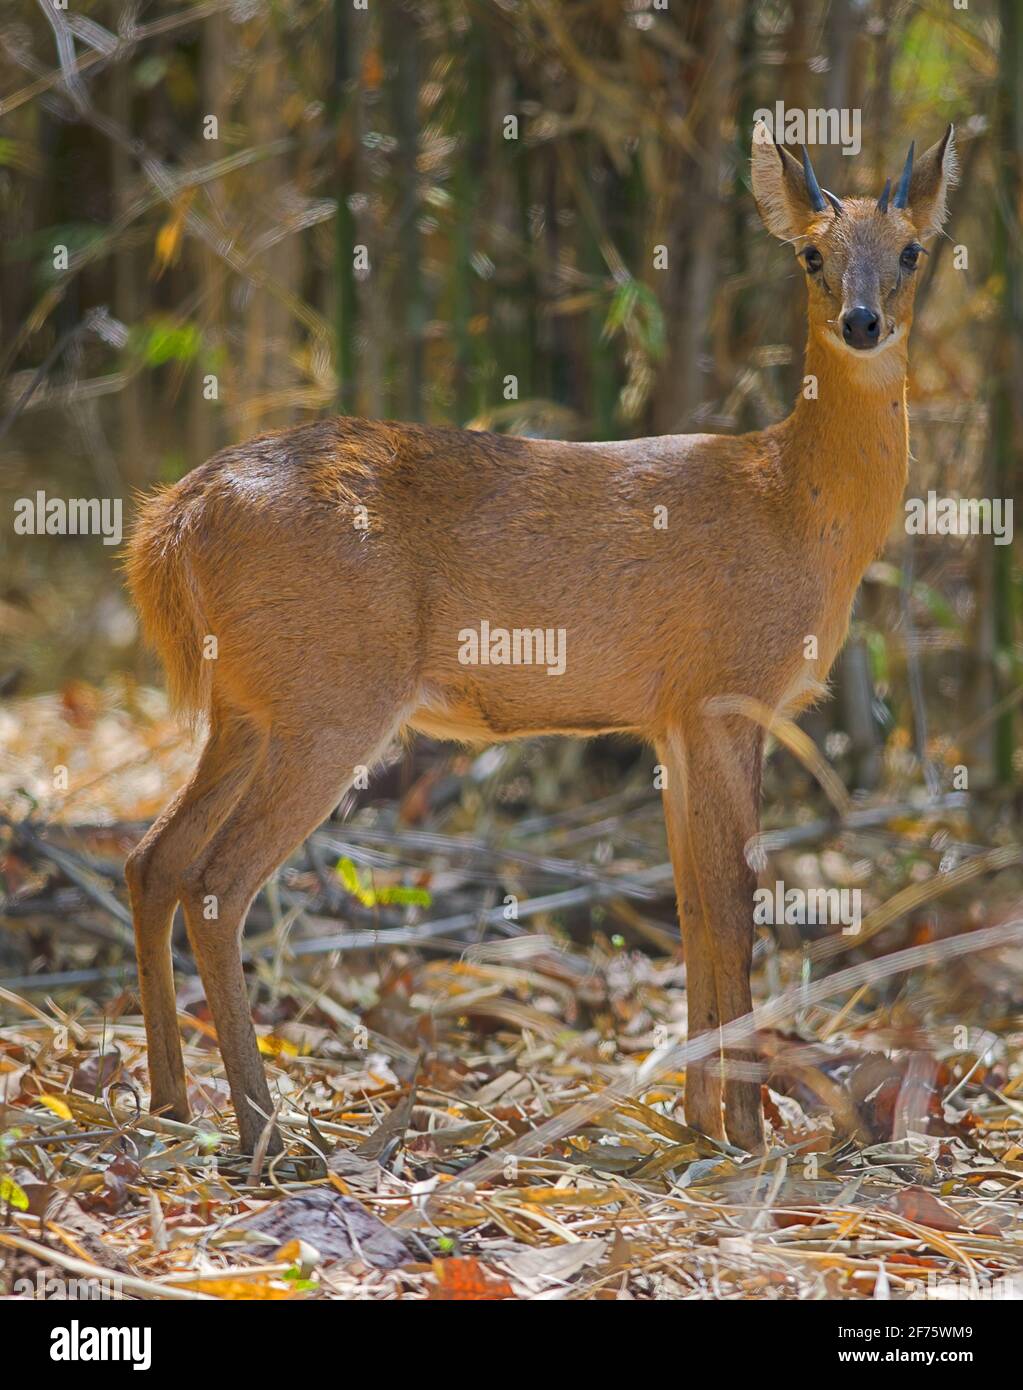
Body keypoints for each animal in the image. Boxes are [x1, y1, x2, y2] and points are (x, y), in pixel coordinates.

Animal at [123, 125, 956, 1156]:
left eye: (912, 250)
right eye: (811, 253)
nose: (862, 320)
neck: (796, 504)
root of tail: (173, 521)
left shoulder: (671, 719)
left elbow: (692, 905)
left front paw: (696, 1119)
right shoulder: (728, 694)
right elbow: (735, 906)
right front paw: (746, 1130)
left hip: (245, 706)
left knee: (152, 859)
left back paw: (170, 1101)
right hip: (331, 699)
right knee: (216, 882)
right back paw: (263, 1127)